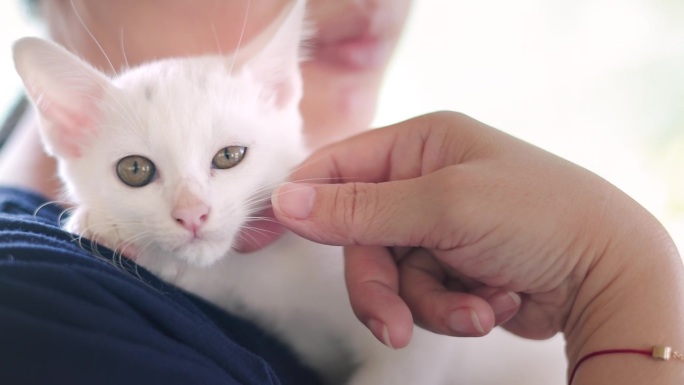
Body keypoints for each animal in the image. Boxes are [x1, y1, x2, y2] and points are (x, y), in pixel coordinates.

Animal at [10, 0, 456, 384]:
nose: (192, 213)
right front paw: (111, 231)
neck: (264, 276)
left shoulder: (419, 345)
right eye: (134, 170)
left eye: (229, 156)